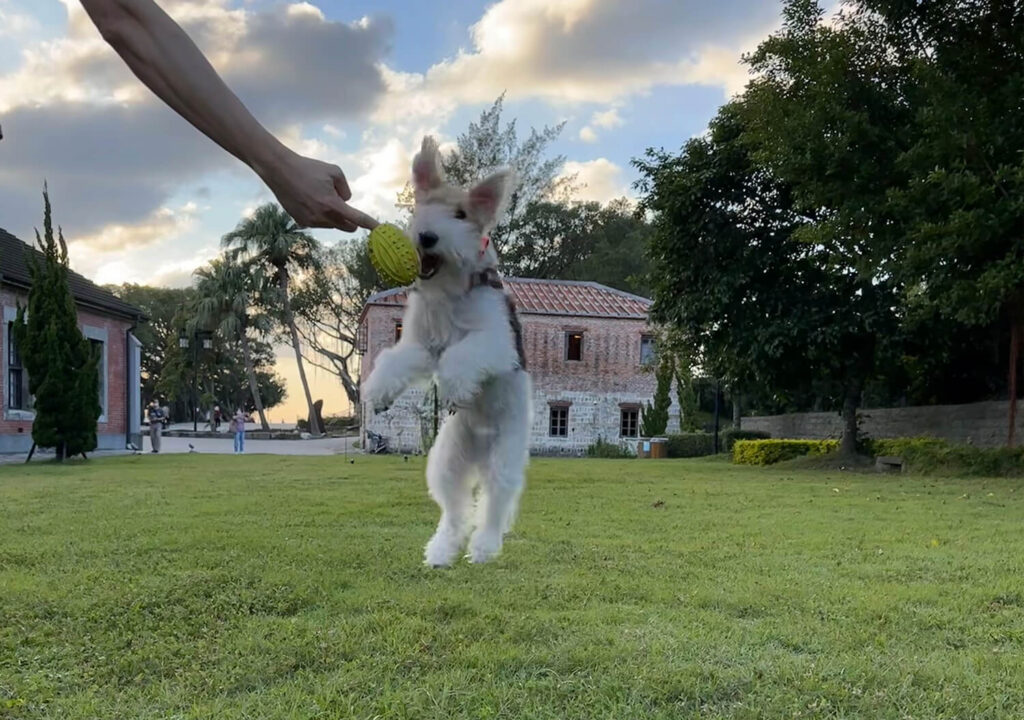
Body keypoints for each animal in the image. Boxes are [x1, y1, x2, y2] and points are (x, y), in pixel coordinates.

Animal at [362, 134, 536, 565]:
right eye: (423, 206)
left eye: (460, 214)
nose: (427, 236)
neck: (451, 292)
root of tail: (480, 448)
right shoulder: (422, 346)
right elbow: (395, 359)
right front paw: (379, 393)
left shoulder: (495, 341)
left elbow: (463, 357)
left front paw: (457, 386)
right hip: (445, 463)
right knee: (455, 511)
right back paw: (441, 551)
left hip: (504, 460)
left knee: (493, 508)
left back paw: (484, 548)